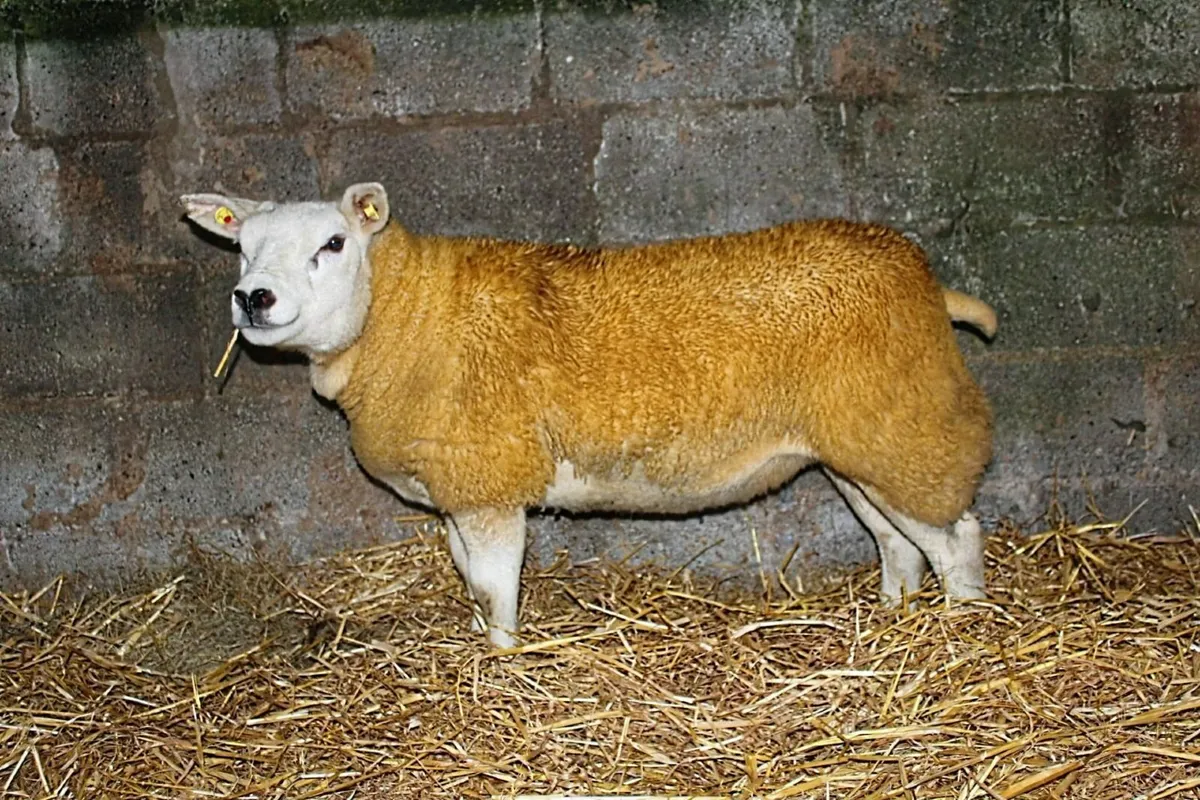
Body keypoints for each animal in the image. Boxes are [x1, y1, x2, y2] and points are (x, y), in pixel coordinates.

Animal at [180, 182, 998, 648]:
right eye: (242, 246)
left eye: (334, 242)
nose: (253, 298)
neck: (404, 313)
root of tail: (923, 278)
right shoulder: (459, 487)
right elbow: (467, 580)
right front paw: (481, 644)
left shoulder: (491, 481)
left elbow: (493, 587)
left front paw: (503, 659)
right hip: (864, 440)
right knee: (898, 542)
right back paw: (893, 618)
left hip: (910, 426)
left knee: (956, 539)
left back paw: (962, 633)